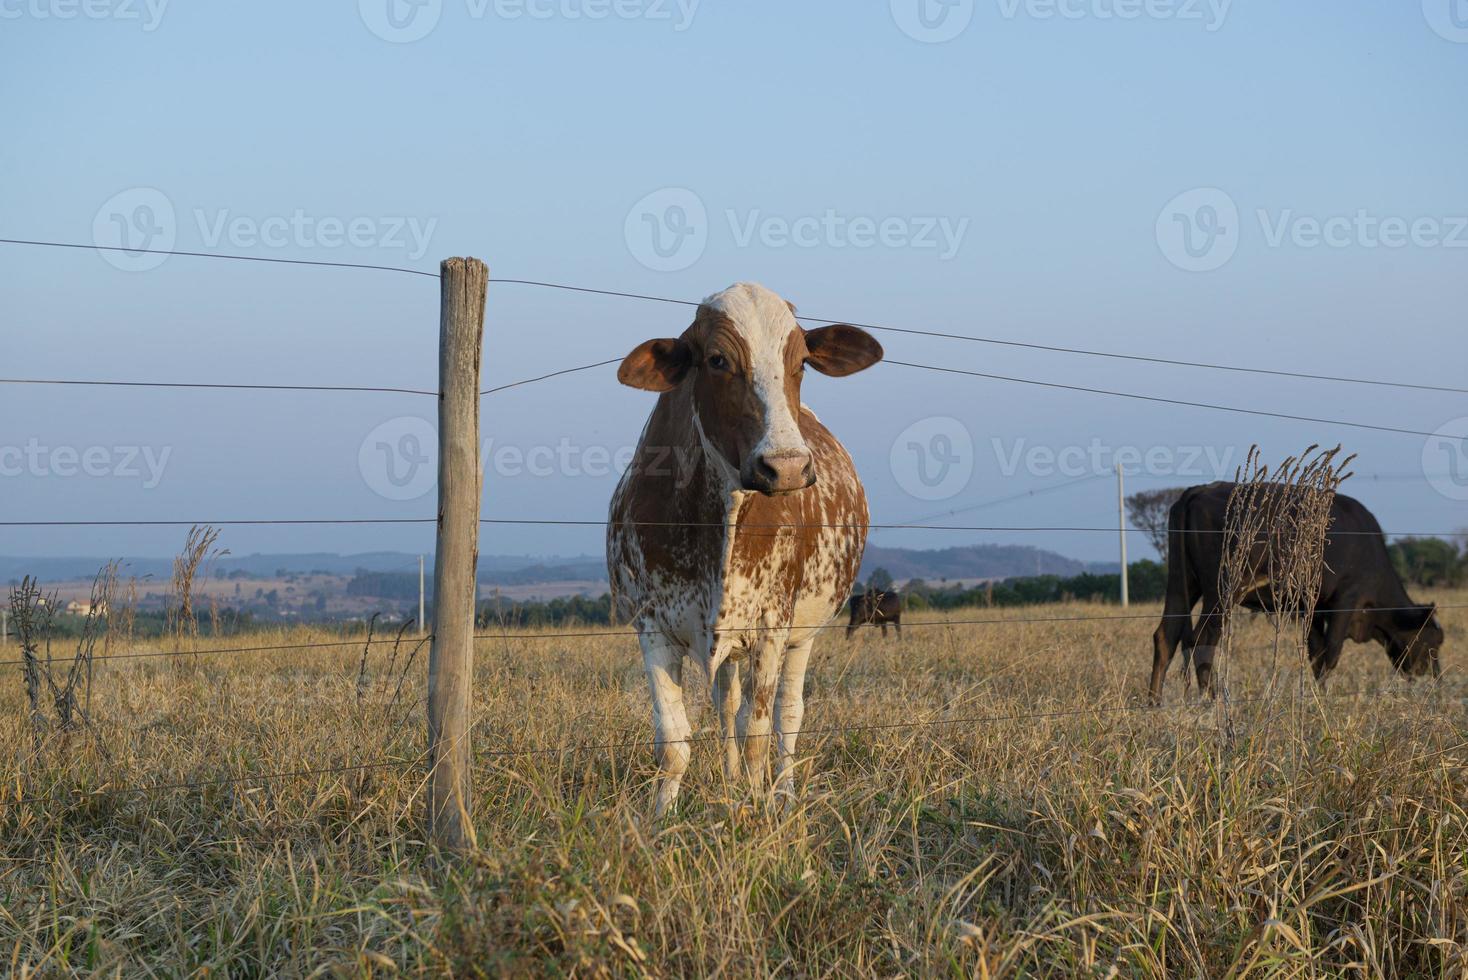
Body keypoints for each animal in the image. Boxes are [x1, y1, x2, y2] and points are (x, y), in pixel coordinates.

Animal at [604, 284, 874, 821]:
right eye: (717, 359)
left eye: (801, 362)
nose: (786, 467)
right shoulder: (652, 624)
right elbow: (675, 741)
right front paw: (661, 820)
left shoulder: (772, 626)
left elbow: (758, 732)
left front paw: (756, 811)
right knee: (727, 703)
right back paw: (730, 783)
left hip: (802, 634)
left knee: (787, 715)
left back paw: (783, 793)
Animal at [1145, 478, 1444, 701]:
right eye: (1433, 642)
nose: (1436, 677)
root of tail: (1199, 490)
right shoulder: (1346, 599)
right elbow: (1331, 653)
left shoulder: (1310, 608)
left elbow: (1316, 654)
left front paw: (1316, 695)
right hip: (1222, 590)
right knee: (1202, 640)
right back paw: (1211, 699)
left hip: (1182, 582)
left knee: (1166, 636)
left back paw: (1155, 702)